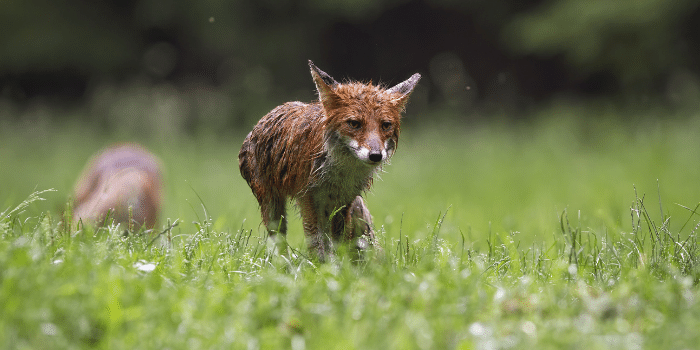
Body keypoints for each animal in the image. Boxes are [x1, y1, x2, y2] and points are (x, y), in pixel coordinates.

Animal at [238, 60, 418, 260]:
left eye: (386, 125)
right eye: (354, 124)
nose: (376, 155)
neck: (341, 172)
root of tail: (258, 124)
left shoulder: (344, 200)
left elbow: (339, 243)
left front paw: (340, 265)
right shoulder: (308, 197)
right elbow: (317, 242)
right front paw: (322, 266)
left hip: (352, 208)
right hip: (273, 207)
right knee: (279, 242)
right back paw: (284, 263)